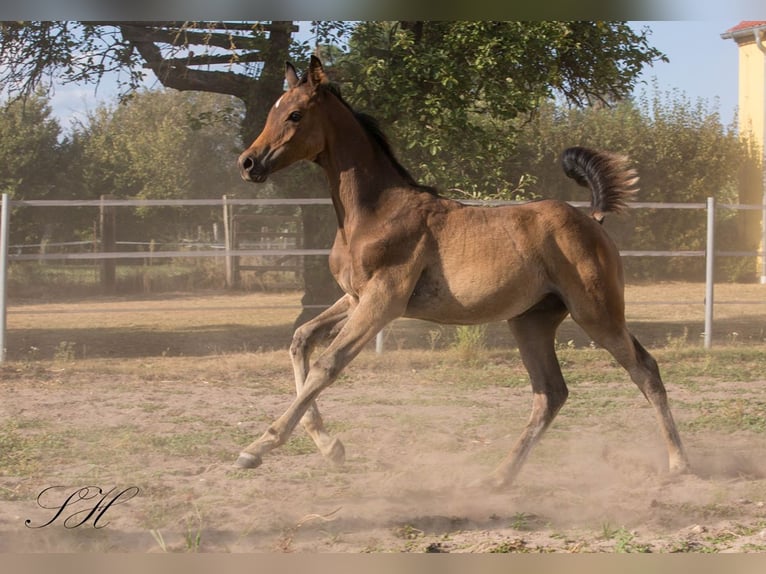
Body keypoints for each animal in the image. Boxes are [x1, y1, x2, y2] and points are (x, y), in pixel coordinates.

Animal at [234, 55, 688, 490]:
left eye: (295, 114)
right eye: (274, 111)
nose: (248, 162)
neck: (375, 212)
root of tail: (592, 219)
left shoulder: (383, 300)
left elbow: (327, 364)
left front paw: (257, 447)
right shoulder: (356, 296)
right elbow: (301, 339)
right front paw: (330, 447)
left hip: (597, 313)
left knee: (644, 370)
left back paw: (679, 464)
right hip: (532, 321)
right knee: (551, 393)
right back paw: (497, 477)